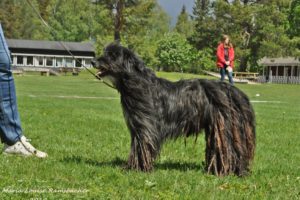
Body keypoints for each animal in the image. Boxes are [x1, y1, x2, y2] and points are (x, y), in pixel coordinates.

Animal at [93, 43, 255, 177]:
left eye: (112, 55)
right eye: (105, 52)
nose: (93, 61)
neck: (135, 82)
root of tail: (233, 90)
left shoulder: (145, 126)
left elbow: (142, 146)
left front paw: (136, 168)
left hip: (223, 128)